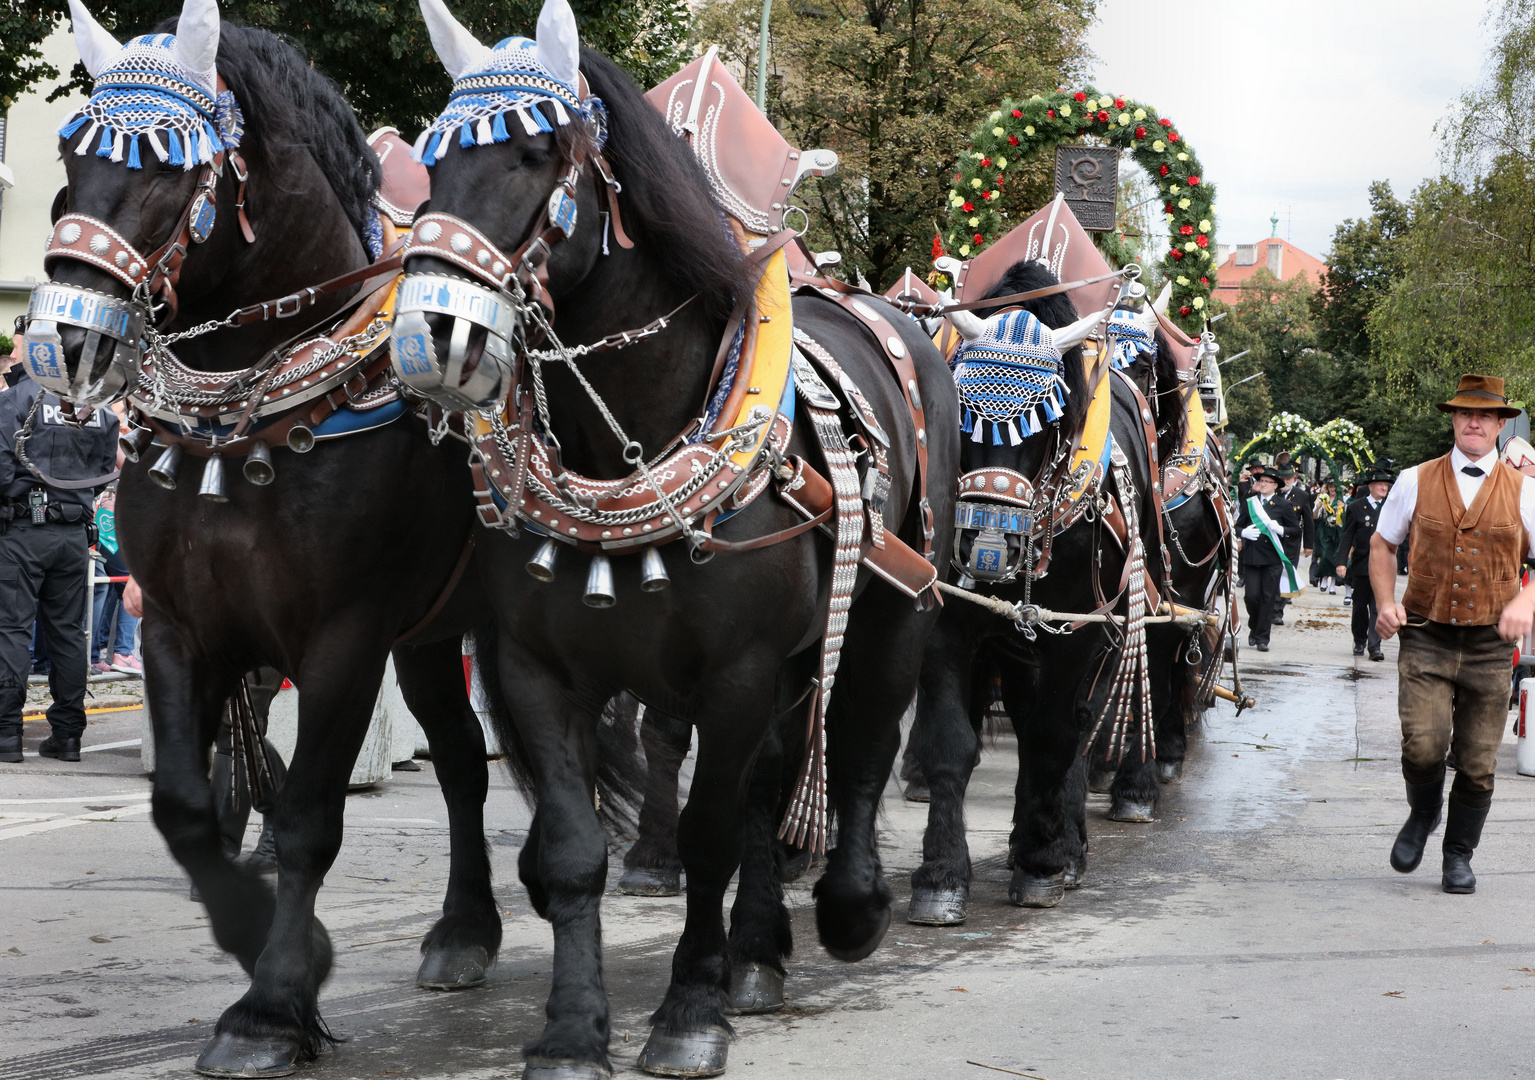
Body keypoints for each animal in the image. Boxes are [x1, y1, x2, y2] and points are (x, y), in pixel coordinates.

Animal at [43, 12, 497, 1073]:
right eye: (73, 153)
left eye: (167, 170)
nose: (65, 341)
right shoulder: (176, 624)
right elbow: (184, 803)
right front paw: (261, 946)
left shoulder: (342, 638)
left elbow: (306, 818)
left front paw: (273, 1006)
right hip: (432, 635)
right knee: (463, 759)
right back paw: (465, 932)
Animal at [408, 25, 957, 1080]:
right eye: (430, 158)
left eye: (533, 152)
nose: (429, 332)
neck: (628, 439)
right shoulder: (537, 670)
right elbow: (576, 849)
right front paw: (572, 1030)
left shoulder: (736, 670)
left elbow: (709, 832)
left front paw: (690, 1013)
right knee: (774, 779)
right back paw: (759, 953)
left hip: (894, 603)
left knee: (863, 742)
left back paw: (849, 907)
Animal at [902, 257, 1154, 926]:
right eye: (962, 417)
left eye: (1043, 427)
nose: (987, 546)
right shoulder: (950, 623)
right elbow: (951, 742)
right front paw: (941, 876)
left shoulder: (1080, 631)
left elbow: (1053, 737)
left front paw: (1045, 862)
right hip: (1016, 643)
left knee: (1077, 723)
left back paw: (1063, 843)